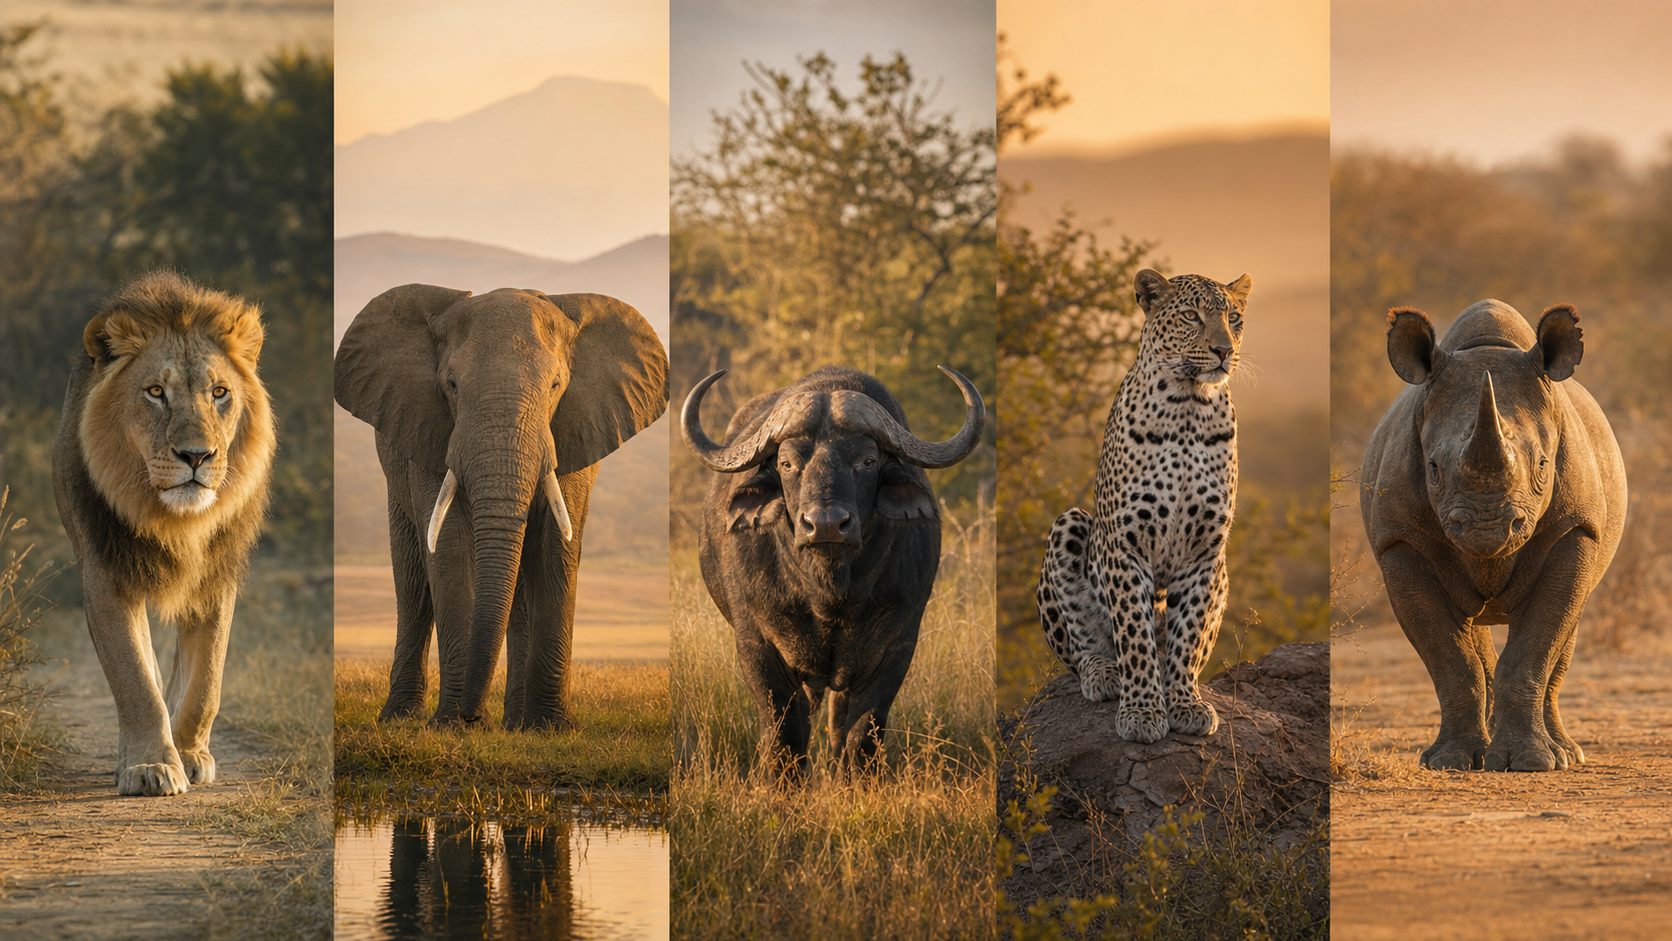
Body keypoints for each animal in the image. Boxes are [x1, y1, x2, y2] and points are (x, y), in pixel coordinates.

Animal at [52, 271, 276, 796]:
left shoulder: (217, 574)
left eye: (219, 392)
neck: (176, 521)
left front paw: (190, 753)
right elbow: (135, 678)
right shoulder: (105, 573)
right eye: (155, 391)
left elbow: (205, 681)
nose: (197, 456)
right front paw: (149, 764)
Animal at [334, 285, 667, 729]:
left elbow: (556, 548)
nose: (475, 716)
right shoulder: (429, 433)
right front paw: (452, 725)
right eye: (452, 385)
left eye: (555, 385)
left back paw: (517, 725)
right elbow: (450, 550)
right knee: (413, 587)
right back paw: (401, 719)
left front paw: (550, 728)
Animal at [681, 365, 985, 772]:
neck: (828, 589)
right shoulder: (756, 644)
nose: (825, 525)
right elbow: (785, 731)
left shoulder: (895, 646)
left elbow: (860, 734)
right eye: (787, 463)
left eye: (867, 461)